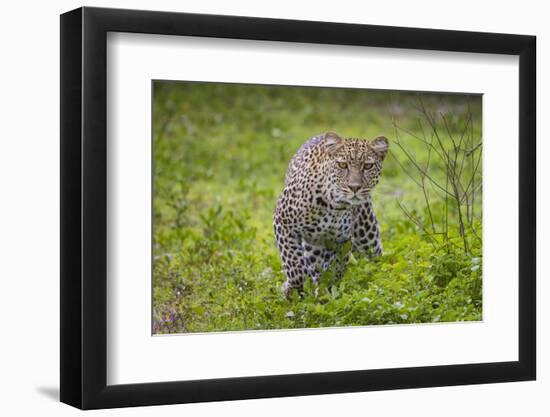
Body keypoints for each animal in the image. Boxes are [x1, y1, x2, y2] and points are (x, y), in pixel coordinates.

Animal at [274, 130, 390, 296]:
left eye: (368, 166)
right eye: (342, 165)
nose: (354, 187)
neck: (334, 205)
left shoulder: (341, 240)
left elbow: (335, 269)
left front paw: (327, 292)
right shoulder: (283, 223)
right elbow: (294, 266)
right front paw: (292, 290)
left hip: (366, 235)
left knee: (375, 257)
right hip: (313, 243)